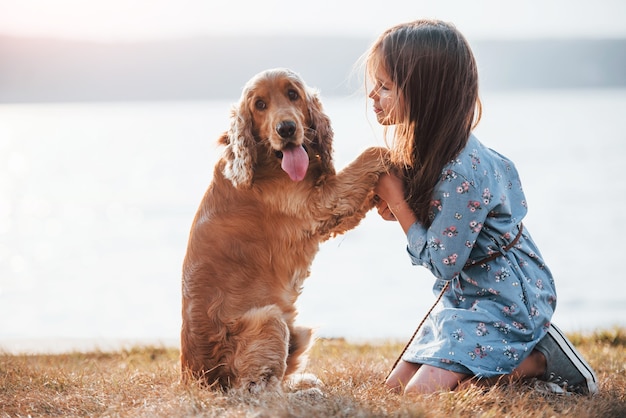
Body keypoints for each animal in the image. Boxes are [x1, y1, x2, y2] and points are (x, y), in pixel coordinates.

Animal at [179, 68, 386, 392]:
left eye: (293, 94)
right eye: (260, 105)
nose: (287, 129)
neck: (265, 162)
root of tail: (196, 379)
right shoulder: (319, 204)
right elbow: (371, 153)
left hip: (296, 331)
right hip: (270, 321)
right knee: (257, 390)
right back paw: (308, 393)